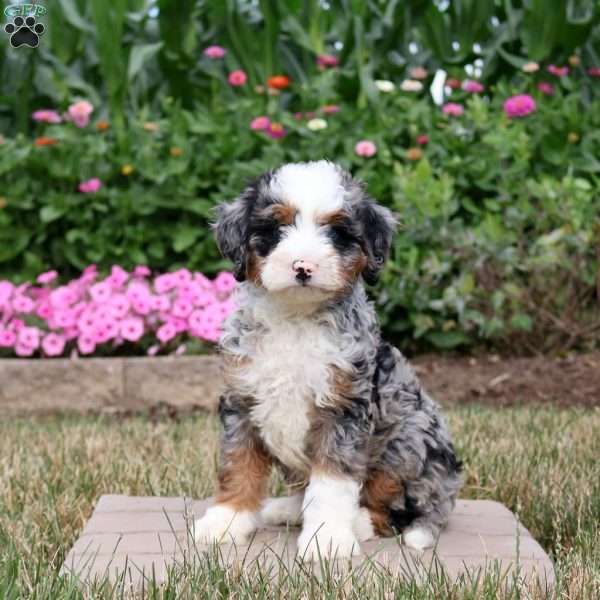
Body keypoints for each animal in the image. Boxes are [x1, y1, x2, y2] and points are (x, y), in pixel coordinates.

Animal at [195, 161, 462, 564]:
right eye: (276, 230)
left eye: (336, 233)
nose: (302, 266)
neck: (296, 319)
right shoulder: (241, 400)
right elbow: (237, 463)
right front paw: (226, 520)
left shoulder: (343, 409)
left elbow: (332, 483)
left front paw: (326, 539)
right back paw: (285, 509)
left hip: (409, 439)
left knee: (395, 504)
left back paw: (361, 522)